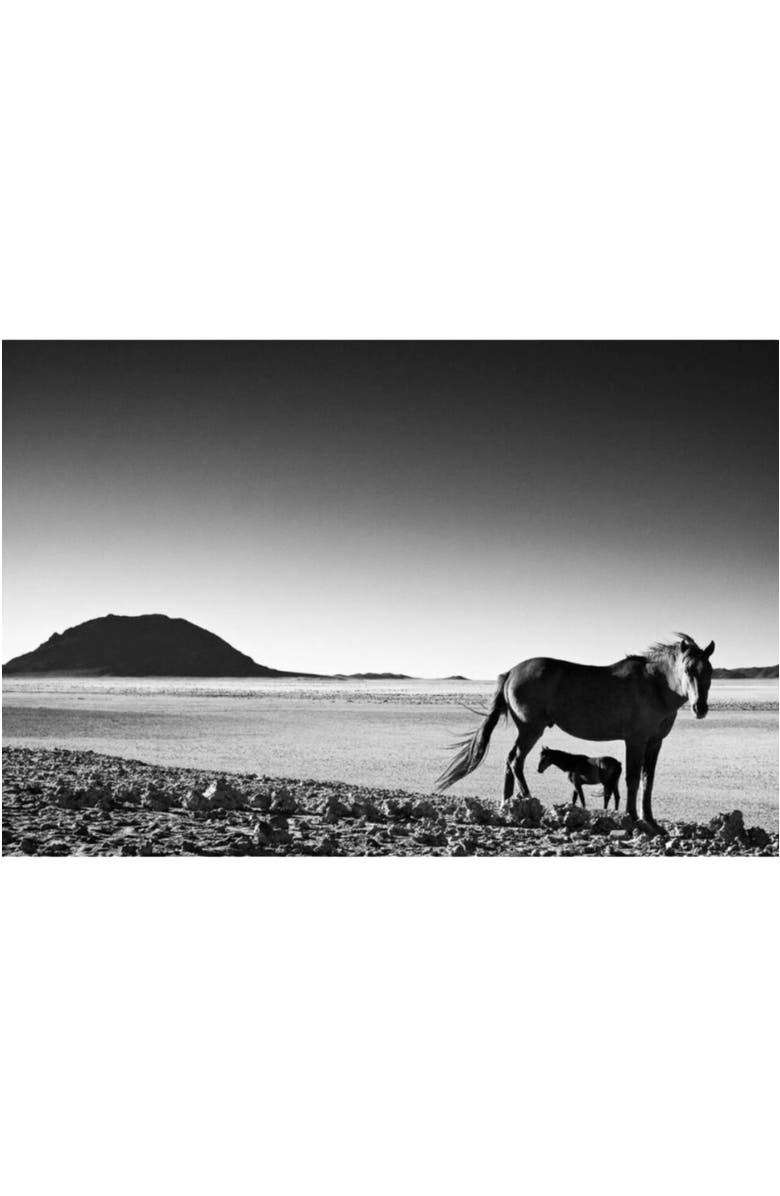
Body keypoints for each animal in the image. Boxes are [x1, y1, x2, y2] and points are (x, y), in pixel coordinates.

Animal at [436, 634, 715, 828]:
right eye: (688, 669)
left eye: (709, 671)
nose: (700, 708)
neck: (655, 685)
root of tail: (512, 672)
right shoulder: (635, 740)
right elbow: (633, 779)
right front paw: (633, 817)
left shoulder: (655, 742)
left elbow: (649, 780)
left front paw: (651, 820)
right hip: (530, 729)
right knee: (515, 760)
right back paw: (528, 801)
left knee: (510, 760)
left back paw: (507, 805)